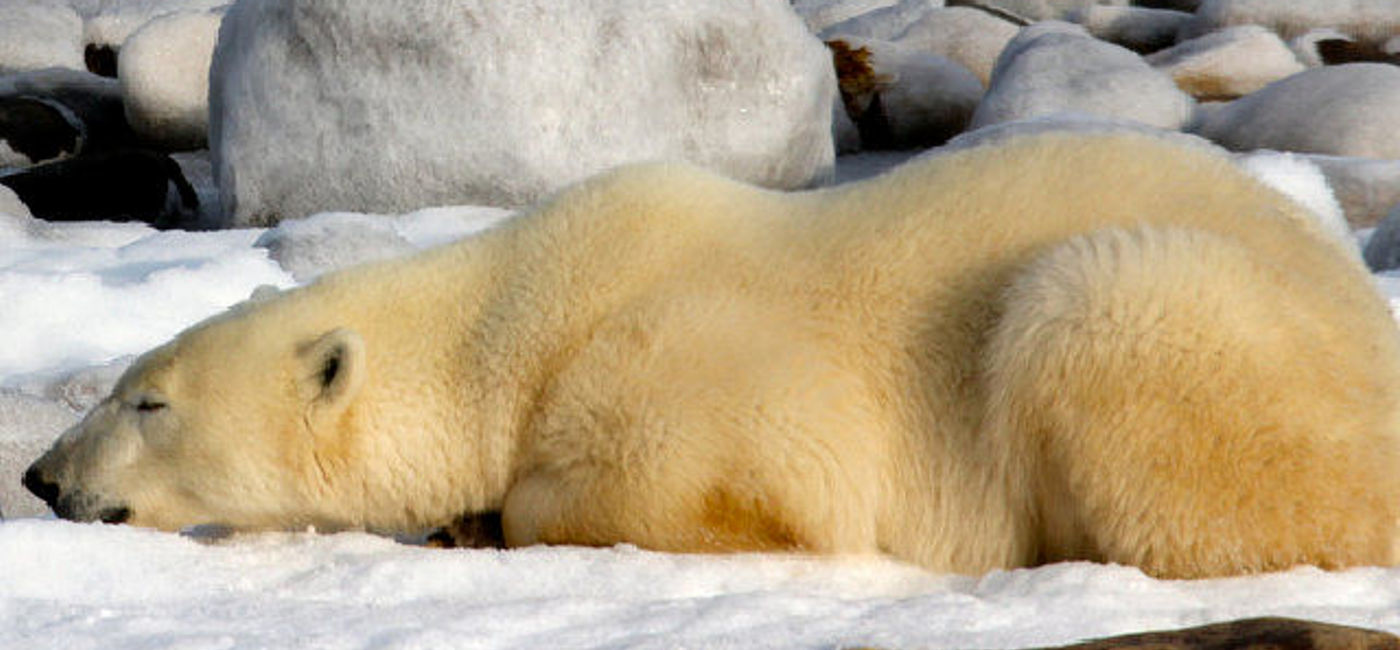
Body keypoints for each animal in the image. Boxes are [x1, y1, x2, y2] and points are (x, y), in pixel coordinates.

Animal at [23, 131, 1400, 579]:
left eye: (145, 399)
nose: (40, 475)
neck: (526, 307)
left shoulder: (689, 358)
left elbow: (742, 481)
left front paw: (491, 513)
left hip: (1165, 318)